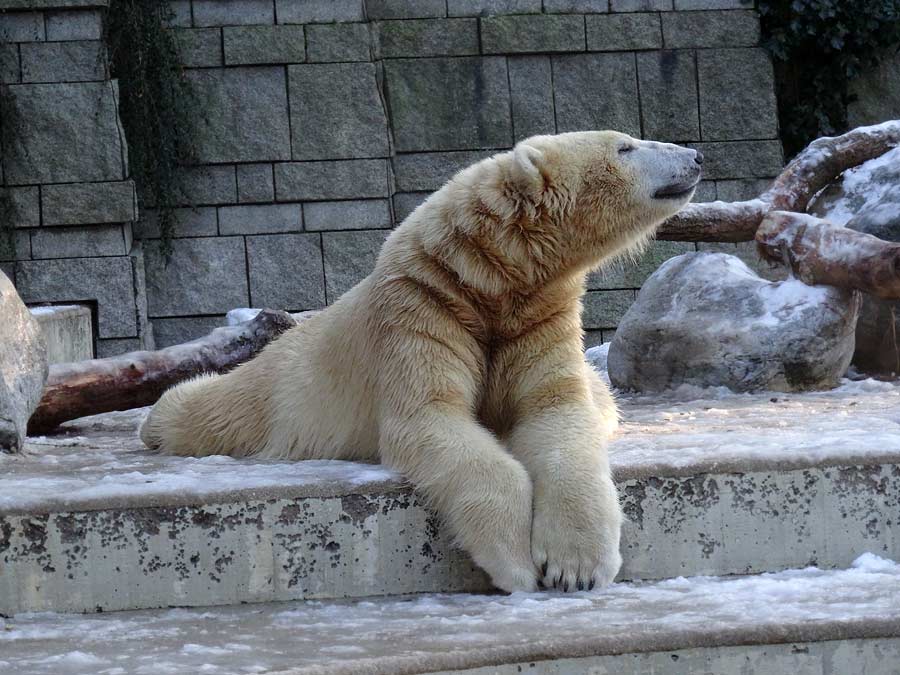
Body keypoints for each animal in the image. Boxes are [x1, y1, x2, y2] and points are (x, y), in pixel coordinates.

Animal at [142, 131, 704, 592]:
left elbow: (557, 412)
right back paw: (158, 416)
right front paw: (516, 564)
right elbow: (430, 416)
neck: (490, 277)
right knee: (214, 412)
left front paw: (576, 567)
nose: (696, 156)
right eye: (625, 147)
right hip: (280, 387)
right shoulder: (422, 309)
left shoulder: (539, 318)